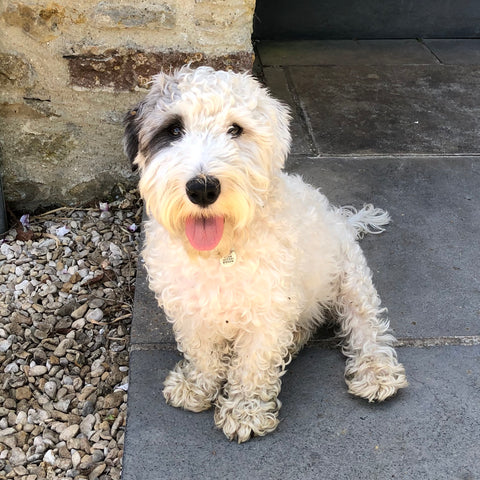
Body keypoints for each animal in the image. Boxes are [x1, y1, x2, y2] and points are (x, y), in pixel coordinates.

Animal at [123, 65, 404, 444]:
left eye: (235, 129)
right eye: (173, 130)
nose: (203, 188)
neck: (221, 252)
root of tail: (342, 220)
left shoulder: (268, 310)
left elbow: (252, 365)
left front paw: (245, 411)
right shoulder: (190, 308)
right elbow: (202, 351)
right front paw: (197, 384)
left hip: (350, 282)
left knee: (368, 328)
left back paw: (375, 371)